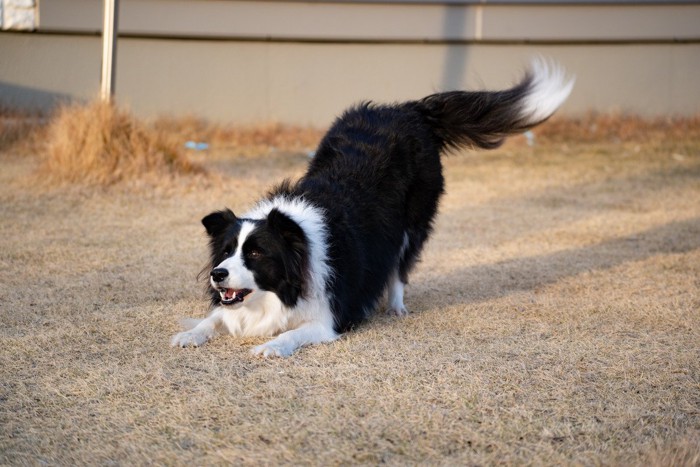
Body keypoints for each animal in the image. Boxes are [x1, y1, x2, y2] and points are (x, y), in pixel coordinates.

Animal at [171, 59, 576, 358]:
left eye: (255, 253)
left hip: (414, 222)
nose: (218, 274)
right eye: (225, 252)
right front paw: (190, 333)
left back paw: (396, 306)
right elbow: (214, 318)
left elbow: (294, 333)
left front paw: (271, 346)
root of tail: (410, 109)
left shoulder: (329, 317)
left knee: (400, 266)